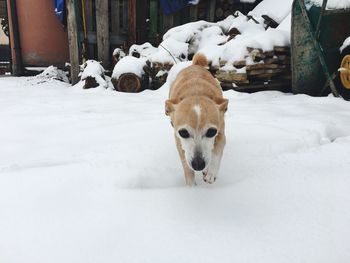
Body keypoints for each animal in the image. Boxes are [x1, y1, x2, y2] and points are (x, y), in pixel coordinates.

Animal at [165, 53, 228, 186]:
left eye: (211, 132)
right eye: (183, 133)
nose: (198, 165)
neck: (196, 92)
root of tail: (195, 65)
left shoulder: (221, 134)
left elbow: (216, 152)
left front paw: (211, 173)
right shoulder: (179, 142)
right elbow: (187, 167)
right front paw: (192, 187)